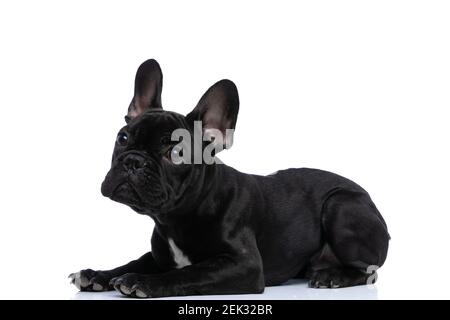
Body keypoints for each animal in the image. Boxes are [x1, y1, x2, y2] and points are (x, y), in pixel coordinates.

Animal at [68, 59, 388, 298]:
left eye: (176, 153)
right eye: (122, 138)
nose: (133, 161)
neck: (176, 217)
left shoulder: (243, 265)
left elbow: (190, 272)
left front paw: (142, 282)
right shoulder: (158, 256)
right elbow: (135, 261)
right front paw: (98, 275)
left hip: (340, 206)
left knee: (368, 270)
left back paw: (332, 276)